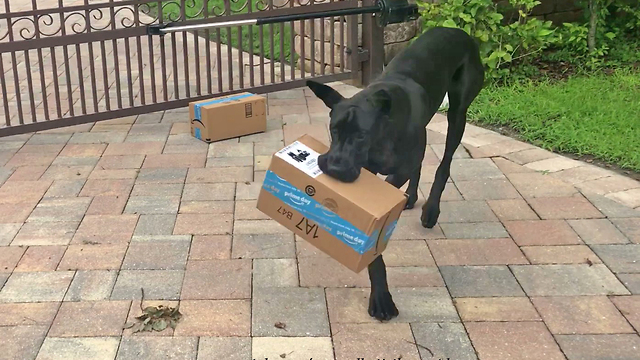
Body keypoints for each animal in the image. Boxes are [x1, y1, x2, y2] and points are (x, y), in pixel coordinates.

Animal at [308, 27, 482, 320]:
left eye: (361, 135)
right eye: (334, 129)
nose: (334, 168)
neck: (382, 132)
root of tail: (456, 30)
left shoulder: (394, 170)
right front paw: (380, 295)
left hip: (458, 111)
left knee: (444, 162)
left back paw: (430, 209)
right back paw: (411, 197)